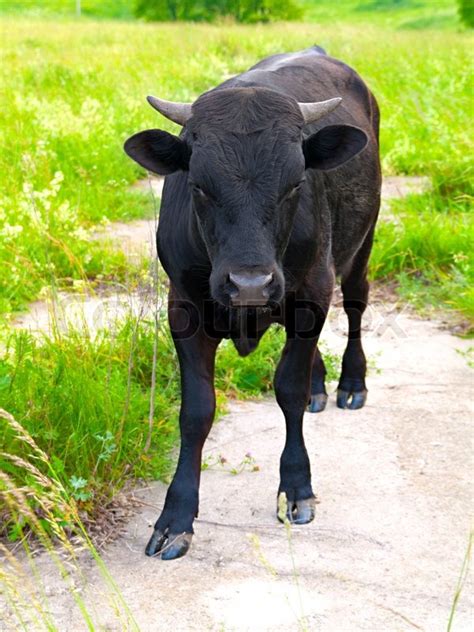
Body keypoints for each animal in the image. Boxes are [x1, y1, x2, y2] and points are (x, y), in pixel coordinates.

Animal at [125, 47, 382, 556]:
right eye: (199, 185)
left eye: (295, 183)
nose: (249, 284)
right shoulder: (184, 309)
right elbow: (196, 411)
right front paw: (175, 516)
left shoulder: (312, 293)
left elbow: (288, 390)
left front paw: (297, 487)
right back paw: (322, 384)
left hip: (360, 246)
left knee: (356, 305)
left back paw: (350, 382)